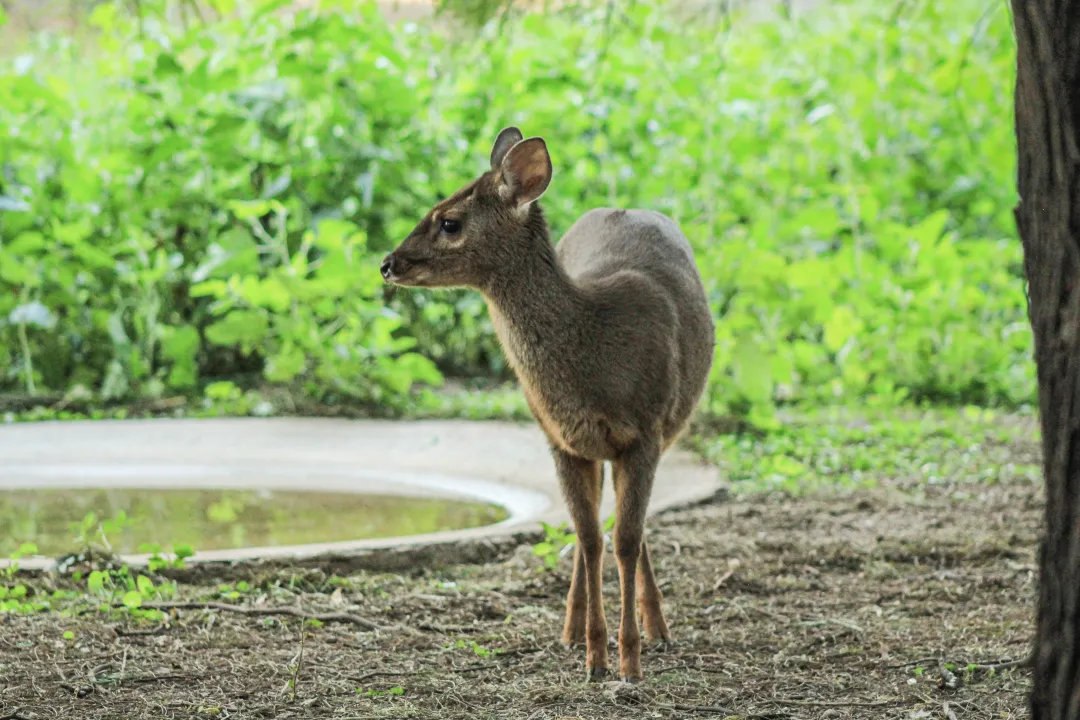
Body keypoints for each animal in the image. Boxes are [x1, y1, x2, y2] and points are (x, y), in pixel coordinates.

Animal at [380, 126, 717, 686]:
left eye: (449, 221)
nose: (388, 264)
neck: (595, 357)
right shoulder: (559, 438)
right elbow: (590, 537)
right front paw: (595, 656)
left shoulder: (644, 431)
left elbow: (625, 539)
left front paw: (629, 661)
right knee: (593, 532)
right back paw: (572, 630)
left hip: (668, 426)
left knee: (632, 528)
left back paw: (657, 628)